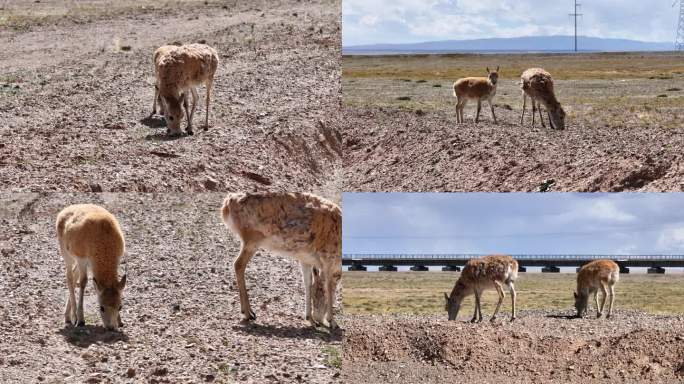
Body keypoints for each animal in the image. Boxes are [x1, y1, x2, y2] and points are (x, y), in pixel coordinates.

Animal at [222, 192, 342, 328]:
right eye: (318, 293)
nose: (319, 318)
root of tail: (226, 204)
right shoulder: (328, 258)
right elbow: (329, 286)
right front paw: (332, 321)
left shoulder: (306, 260)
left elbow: (307, 283)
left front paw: (310, 319)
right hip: (252, 240)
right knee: (238, 264)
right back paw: (249, 313)